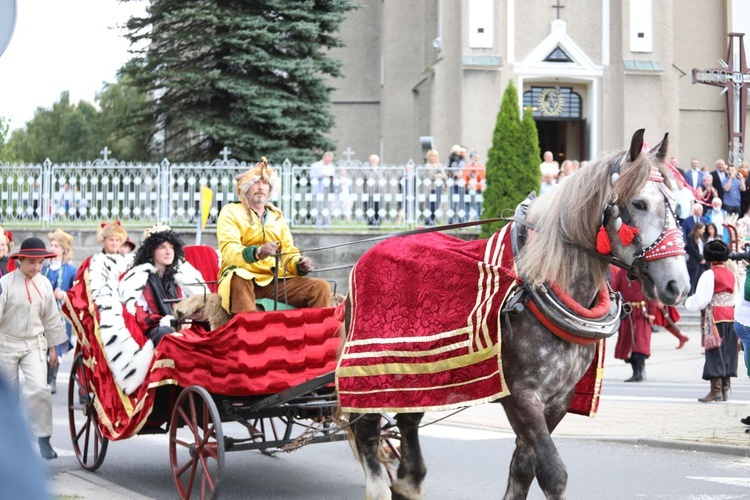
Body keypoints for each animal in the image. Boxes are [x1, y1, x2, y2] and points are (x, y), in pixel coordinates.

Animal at [344, 130, 692, 500]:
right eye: (639, 203)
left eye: (676, 204)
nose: (678, 284)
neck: (539, 286)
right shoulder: (521, 396)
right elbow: (552, 472)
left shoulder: (558, 400)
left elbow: (523, 466)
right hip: (372, 370)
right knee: (367, 429)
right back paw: (381, 486)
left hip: (420, 373)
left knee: (407, 419)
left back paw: (409, 480)